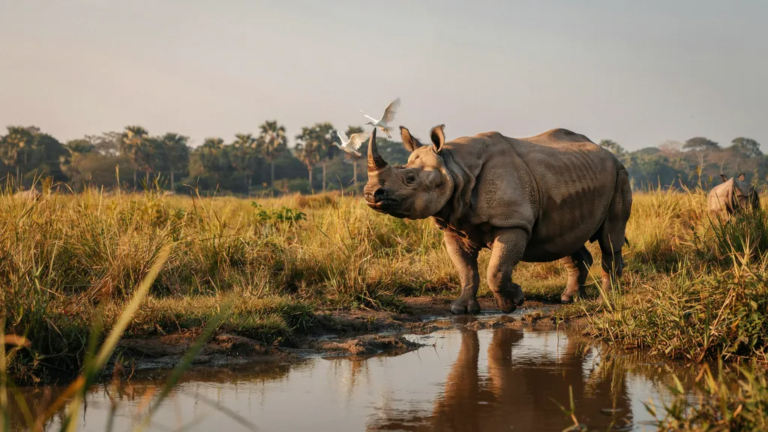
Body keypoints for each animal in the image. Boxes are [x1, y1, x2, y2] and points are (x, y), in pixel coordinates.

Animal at [363, 125, 632, 314]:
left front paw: (513, 302)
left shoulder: (512, 223)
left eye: (409, 179)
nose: (370, 193)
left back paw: (607, 299)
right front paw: (461, 309)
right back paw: (570, 299)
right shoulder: (453, 225)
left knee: (610, 240)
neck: (454, 167)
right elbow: (466, 270)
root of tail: (609, 153)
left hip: (620, 174)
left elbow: (496, 270)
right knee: (564, 239)